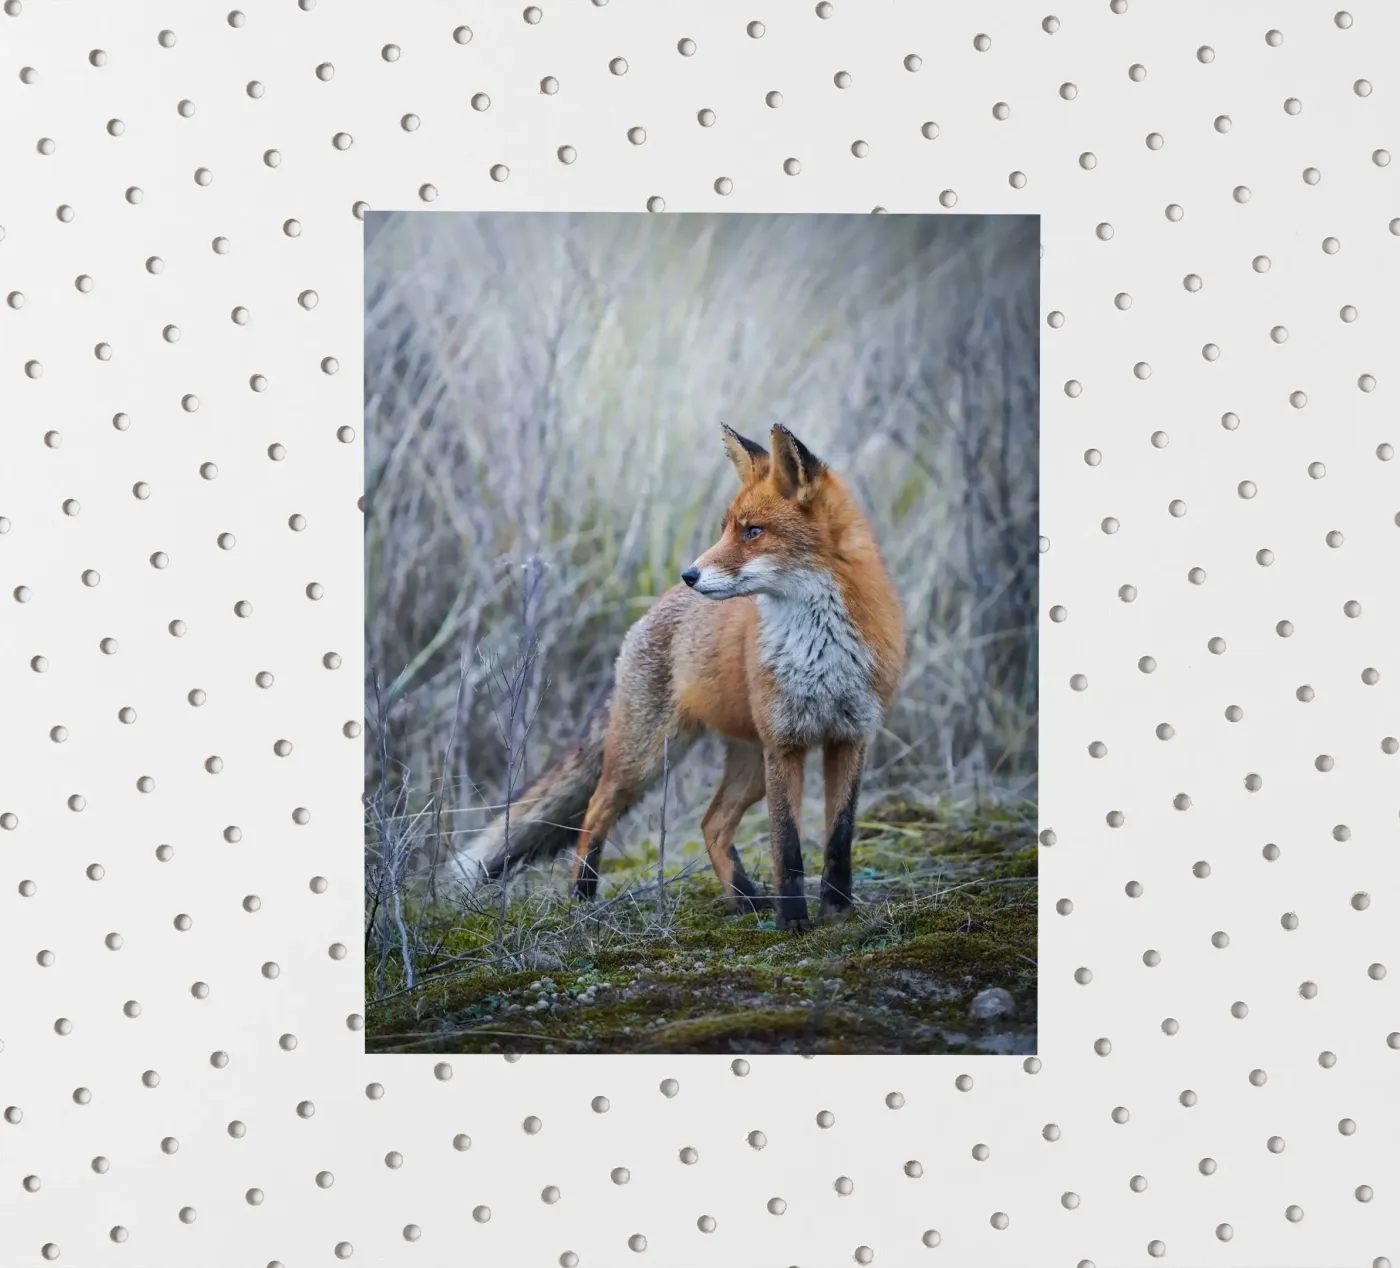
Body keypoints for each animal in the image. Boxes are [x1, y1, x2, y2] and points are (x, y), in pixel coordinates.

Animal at [451, 423, 906, 931]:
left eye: (753, 531)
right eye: (727, 528)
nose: (690, 573)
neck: (819, 649)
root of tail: (654, 607)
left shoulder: (850, 736)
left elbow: (839, 840)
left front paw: (838, 913)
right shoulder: (785, 743)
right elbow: (787, 847)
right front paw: (793, 923)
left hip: (749, 765)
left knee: (712, 823)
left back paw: (745, 900)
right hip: (647, 758)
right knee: (595, 811)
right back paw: (582, 898)